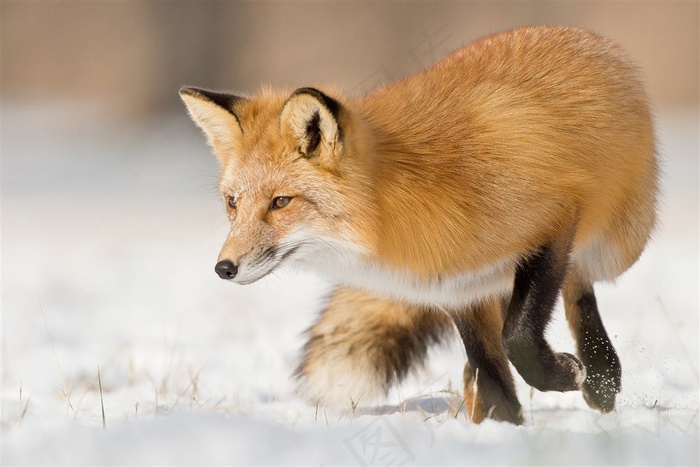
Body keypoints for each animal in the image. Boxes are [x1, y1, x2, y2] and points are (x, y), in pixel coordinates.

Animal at [179, 26, 656, 428]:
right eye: (233, 203)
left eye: (281, 202)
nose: (224, 268)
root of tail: (582, 36)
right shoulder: (459, 287)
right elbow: (492, 372)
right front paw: (505, 431)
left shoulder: (553, 221)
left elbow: (519, 336)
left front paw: (567, 376)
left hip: (618, 245)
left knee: (579, 281)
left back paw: (600, 375)